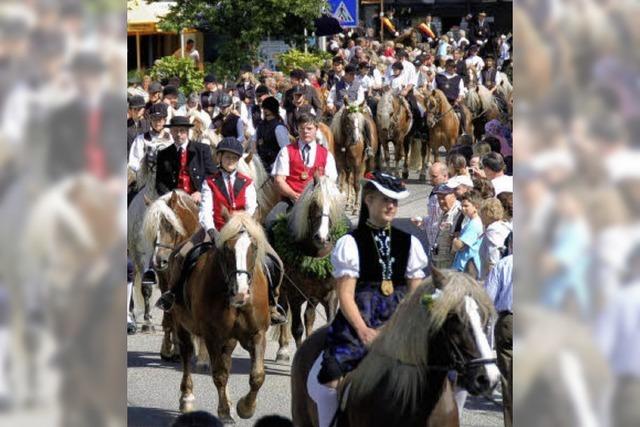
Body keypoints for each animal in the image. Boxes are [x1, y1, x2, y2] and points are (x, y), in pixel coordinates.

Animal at [151, 208, 274, 424]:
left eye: (254, 246)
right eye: (227, 249)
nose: (241, 293)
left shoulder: (257, 333)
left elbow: (257, 375)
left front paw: (245, 408)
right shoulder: (212, 337)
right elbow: (219, 374)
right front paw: (224, 412)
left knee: (227, 360)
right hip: (181, 324)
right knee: (186, 354)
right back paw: (187, 398)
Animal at [272, 177, 348, 364]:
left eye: (334, 205)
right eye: (314, 205)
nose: (322, 237)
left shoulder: (330, 295)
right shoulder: (295, 295)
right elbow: (297, 328)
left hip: (313, 296)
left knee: (309, 316)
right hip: (285, 291)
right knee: (285, 314)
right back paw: (283, 350)